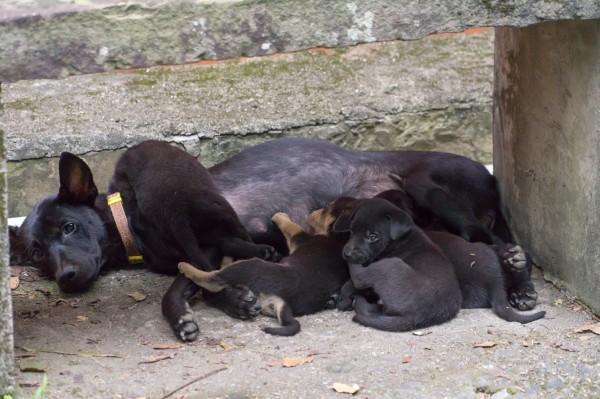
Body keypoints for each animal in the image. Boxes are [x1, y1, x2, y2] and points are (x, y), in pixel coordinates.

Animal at [10, 141, 274, 340]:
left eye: (69, 227)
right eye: (37, 254)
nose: (65, 277)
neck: (126, 223)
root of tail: (173, 207)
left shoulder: (205, 248)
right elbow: (195, 279)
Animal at [176, 212, 350, 338]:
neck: (340, 238)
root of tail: (282, 300)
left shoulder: (300, 237)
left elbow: (291, 225)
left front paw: (280, 215)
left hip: (249, 267)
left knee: (212, 278)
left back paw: (186, 266)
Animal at [330, 198, 462, 332]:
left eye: (373, 237)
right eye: (352, 231)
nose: (347, 254)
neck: (395, 242)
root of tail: (417, 316)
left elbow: (350, 284)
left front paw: (343, 296)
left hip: (390, 265)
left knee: (359, 278)